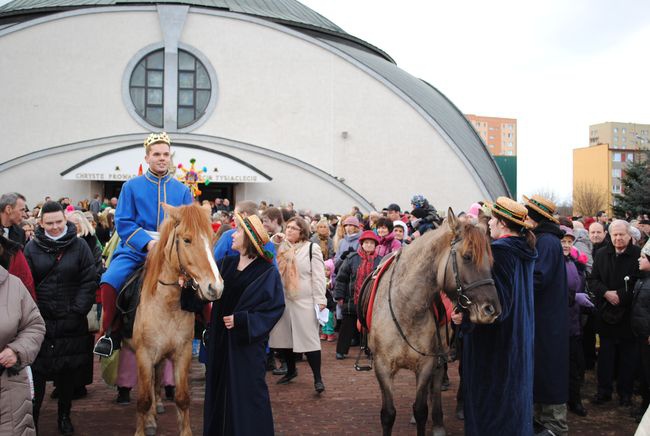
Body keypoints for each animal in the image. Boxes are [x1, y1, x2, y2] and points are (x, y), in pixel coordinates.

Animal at [130, 204, 224, 436]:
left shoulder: (183, 352)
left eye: (211, 238)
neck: (168, 304)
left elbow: (182, 398)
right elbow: (143, 400)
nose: (216, 287)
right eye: (187, 240)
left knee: (155, 380)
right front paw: (141, 429)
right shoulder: (143, 354)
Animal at [368, 209, 498, 434]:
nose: (491, 310)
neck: (406, 309)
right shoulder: (382, 367)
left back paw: (442, 419)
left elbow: (421, 409)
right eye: (467, 257)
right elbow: (388, 414)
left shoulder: (426, 364)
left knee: (443, 381)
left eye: (491, 262)